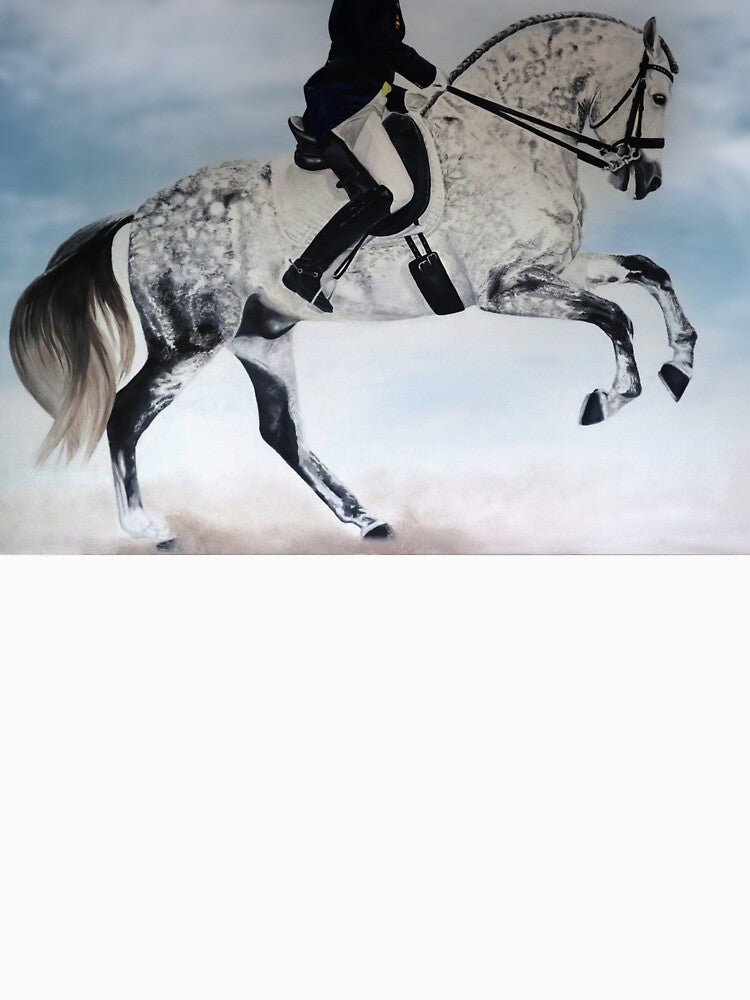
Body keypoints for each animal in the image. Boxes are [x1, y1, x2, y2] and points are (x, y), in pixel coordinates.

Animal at [10, 11, 698, 549]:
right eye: (661, 99)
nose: (645, 180)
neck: (507, 139)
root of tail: (141, 214)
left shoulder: (551, 267)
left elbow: (649, 272)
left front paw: (680, 365)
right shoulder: (510, 288)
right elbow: (615, 315)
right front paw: (608, 399)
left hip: (260, 336)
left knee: (281, 432)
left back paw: (365, 519)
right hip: (191, 340)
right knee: (126, 414)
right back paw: (148, 529)